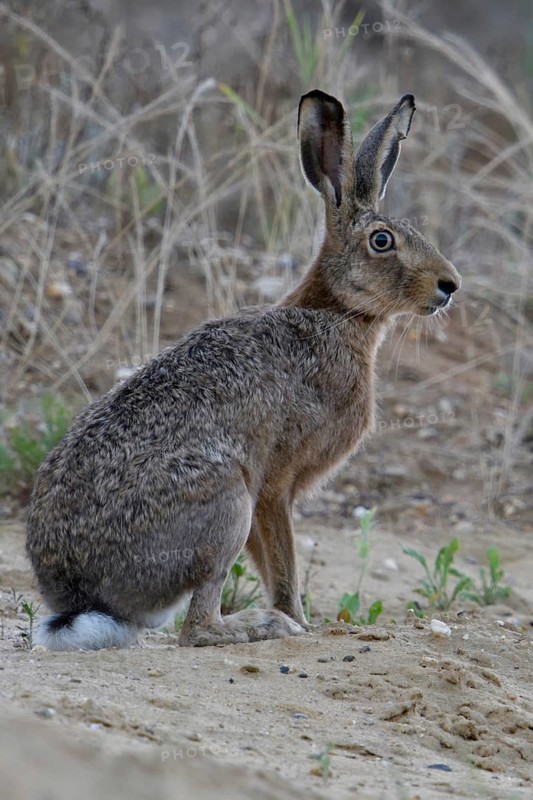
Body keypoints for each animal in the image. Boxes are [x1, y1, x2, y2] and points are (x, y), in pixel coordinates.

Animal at [27, 89, 461, 650]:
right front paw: (300, 622)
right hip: (226, 501)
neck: (337, 312)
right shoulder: (273, 484)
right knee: (197, 627)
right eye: (382, 241)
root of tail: (77, 595)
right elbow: (285, 564)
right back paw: (263, 626)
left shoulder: (267, 500)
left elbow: (271, 563)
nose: (449, 285)